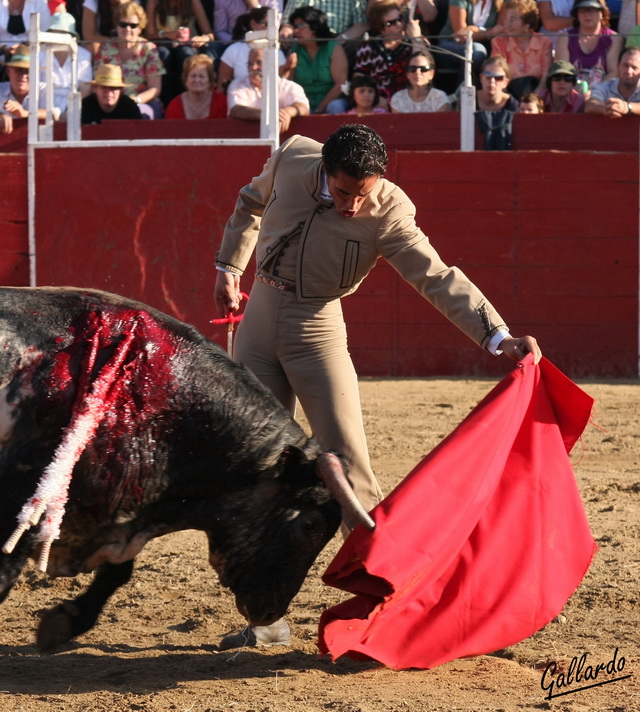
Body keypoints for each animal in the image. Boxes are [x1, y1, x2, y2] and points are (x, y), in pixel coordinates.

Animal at [0, 286, 372, 652]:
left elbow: (118, 573)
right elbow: (6, 575)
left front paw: (64, 624)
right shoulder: (20, 508)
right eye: (309, 525)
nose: (270, 612)